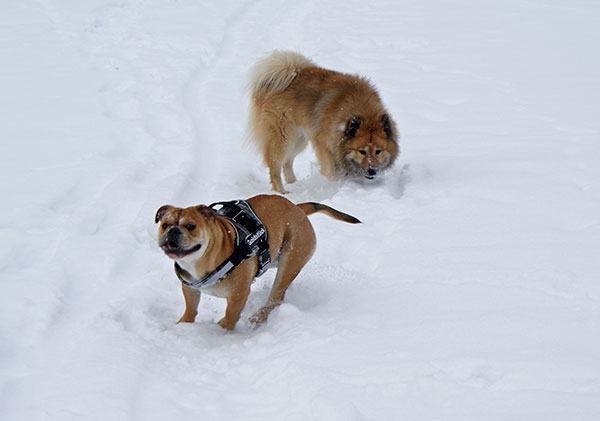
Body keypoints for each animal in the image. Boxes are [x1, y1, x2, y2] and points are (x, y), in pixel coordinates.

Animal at [156, 194, 360, 328]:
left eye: (191, 226)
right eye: (164, 225)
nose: (173, 230)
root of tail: (297, 208)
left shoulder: (237, 295)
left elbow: (230, 317)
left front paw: (220, 333)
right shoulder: (190, 288)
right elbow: (191, 308)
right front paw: (183, 324)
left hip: (290, 260)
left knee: (275, 297)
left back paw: (257, 318)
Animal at [246, 50, 400, 193]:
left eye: (378, 151)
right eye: (362, 151)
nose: (372, 170)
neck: (362, 111)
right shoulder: (323, 145)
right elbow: (331, 172)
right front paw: (334, 185)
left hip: (298, 140)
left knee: (287, 162)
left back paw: (293, 183)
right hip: (283, 138)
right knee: (275, 165)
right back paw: (281, 192)